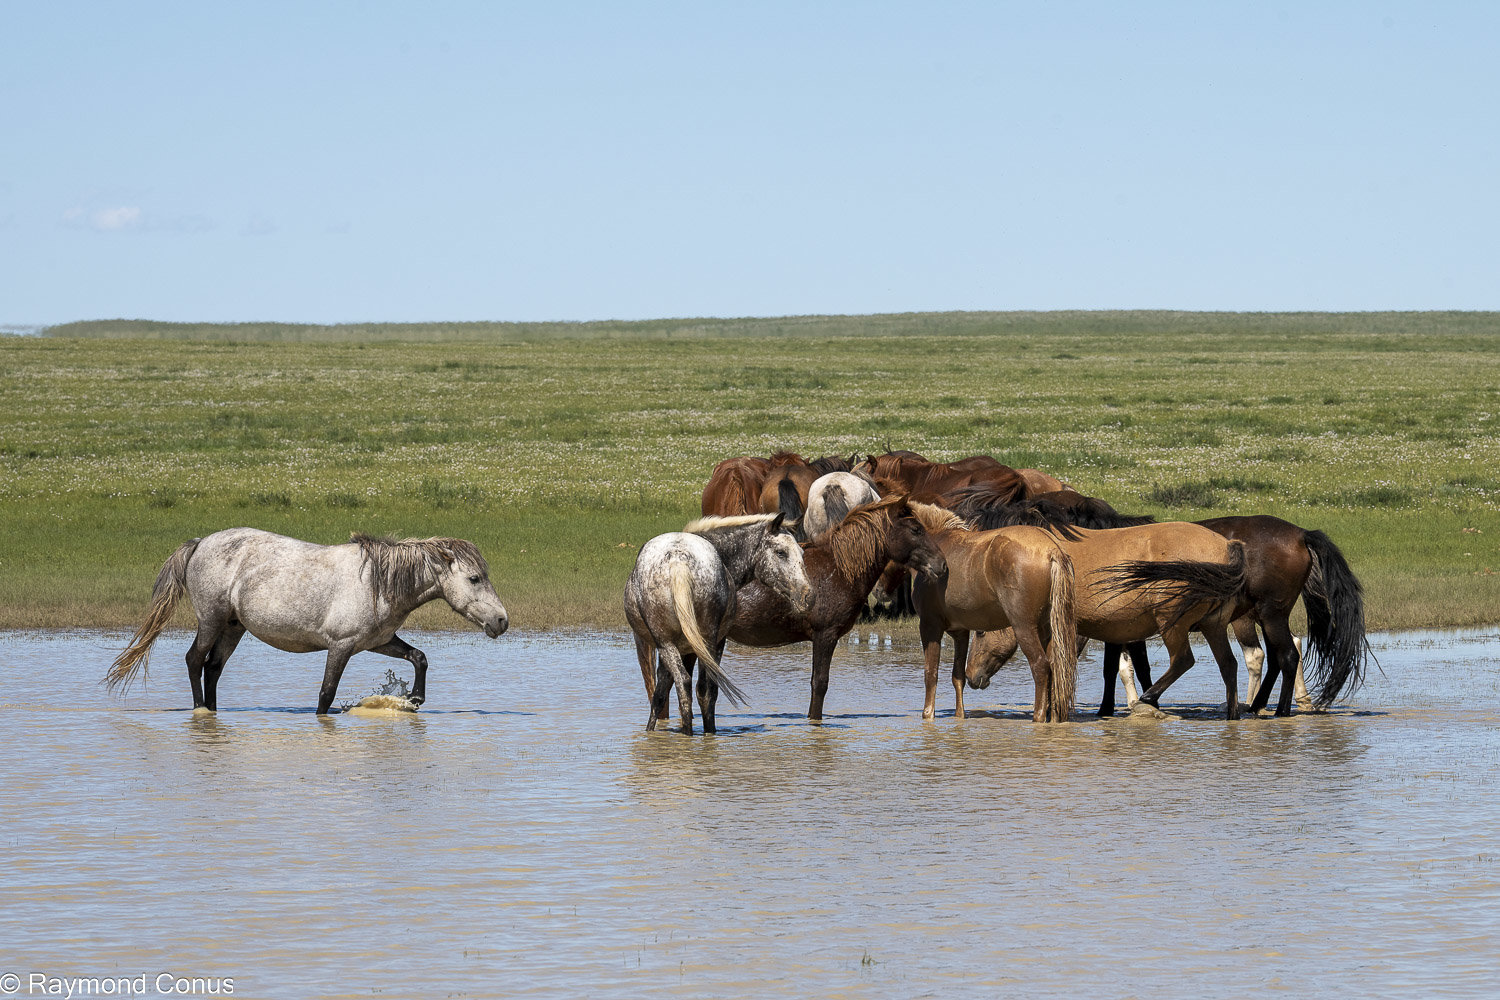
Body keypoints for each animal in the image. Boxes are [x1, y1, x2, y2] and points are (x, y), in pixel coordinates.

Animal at [107, 529, 509, 715]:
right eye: (474, 578)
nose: (502, 621)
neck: (378, 583)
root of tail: (201, 541)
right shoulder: (341, 647)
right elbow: (326, 693)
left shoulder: (377, 642)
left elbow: (419, 657)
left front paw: (415, 698)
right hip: (211, 620)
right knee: (194, 660)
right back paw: (201, 711)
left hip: (233, 628)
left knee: (213, 667)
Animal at [624, 512, 812, 735]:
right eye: (781, 552)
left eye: (801, 552)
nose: (808, 596)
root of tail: (679, 559)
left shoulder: (681, 648)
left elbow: (660, 693)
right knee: (701, 688)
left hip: (671, 643)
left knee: (688, 685)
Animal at [903, 503, 1078, 723]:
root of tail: (1052, 549)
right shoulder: (960, 632)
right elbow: (957, 677)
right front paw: (959, 717)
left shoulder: (930, 625)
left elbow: (930, 674)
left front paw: (928, 715)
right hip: (1046, 629)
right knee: (1056, 667)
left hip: (1025, 628)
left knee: (1040, 666)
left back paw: (1037, 717)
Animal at [965, 522, 1252, 718]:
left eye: (980, 632)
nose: (970, 676)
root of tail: (1227, 547)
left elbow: (1062, 666)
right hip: (1213, 626)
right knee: (1228, 665)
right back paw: (1232, 715)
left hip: (1173, 624)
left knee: (1183, 660)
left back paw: (1147, 697)